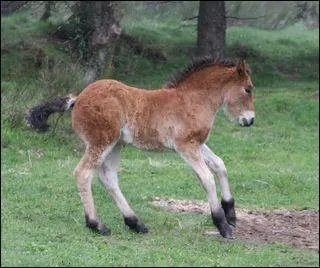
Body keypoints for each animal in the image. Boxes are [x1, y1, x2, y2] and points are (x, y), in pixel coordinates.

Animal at [28, 57, 256, 239]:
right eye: (248, 89)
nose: (250, 120)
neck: (191, 100)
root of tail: (78, 98)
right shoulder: (185, 146)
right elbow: (207, 179)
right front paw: (222, 224)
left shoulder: (197, 144)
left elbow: (220, 165)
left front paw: (231, 212)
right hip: (101, 142)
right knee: (83, 173)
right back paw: (97, 225)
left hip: (116, 145)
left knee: (108, 178)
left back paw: (135, 223)